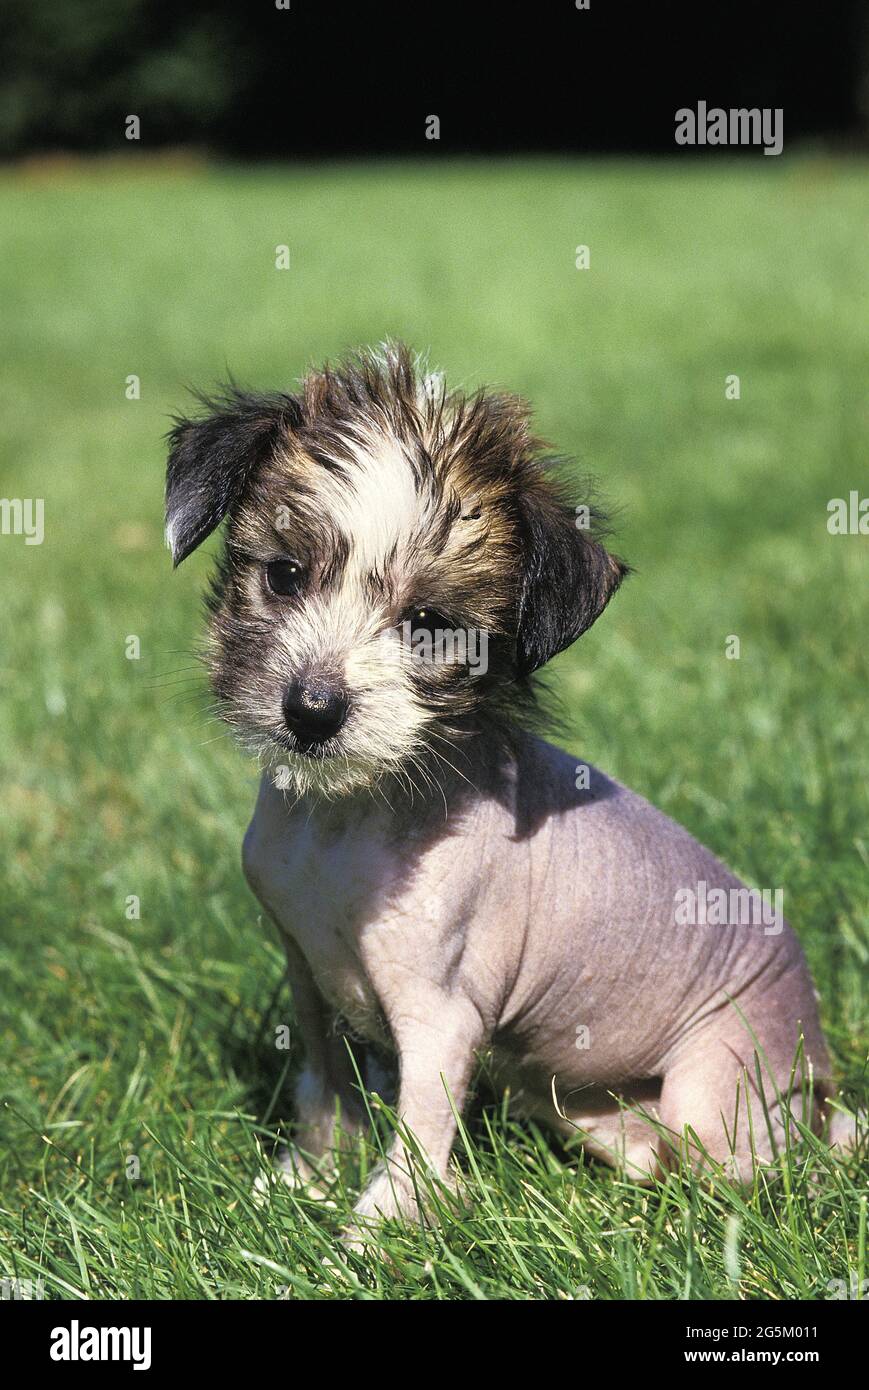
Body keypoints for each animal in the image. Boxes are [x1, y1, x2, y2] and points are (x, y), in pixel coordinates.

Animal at [166, 344, 850, 1239]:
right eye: (283, 577)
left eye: (427, 626)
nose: (311, 712)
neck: (348, 819)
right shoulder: (310, 983)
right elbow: (324, 1095)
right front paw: (303, 1184)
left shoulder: (441, 1018)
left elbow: (416, 1140)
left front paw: (371, 1238)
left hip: (714, 1100)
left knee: (774, 1169)